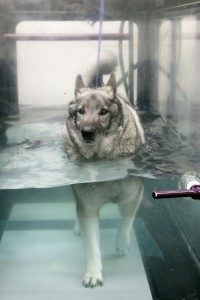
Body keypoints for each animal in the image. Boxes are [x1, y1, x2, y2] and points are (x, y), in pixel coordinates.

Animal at [63, 51, 145, 288]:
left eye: (103, 112)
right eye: (80, 111)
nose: (87, 132)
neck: (100, 158)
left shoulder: (134, 196)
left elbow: (127, 220)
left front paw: (122, 242)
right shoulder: (88, 208)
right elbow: (92, 246)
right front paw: (93, 274)